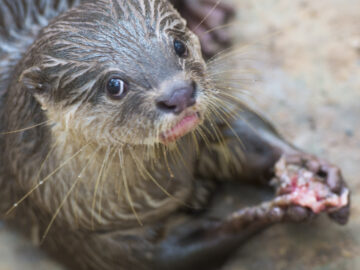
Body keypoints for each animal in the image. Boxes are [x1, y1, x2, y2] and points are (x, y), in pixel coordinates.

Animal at [0, 0, 348, 270]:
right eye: (114, 85)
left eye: (178, 46)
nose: (179, 93)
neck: (169, 183)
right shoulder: (81, 233)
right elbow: (170, 255)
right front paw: (266, 213)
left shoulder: (214, 120)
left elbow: (241, 129)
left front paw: (311, 167)